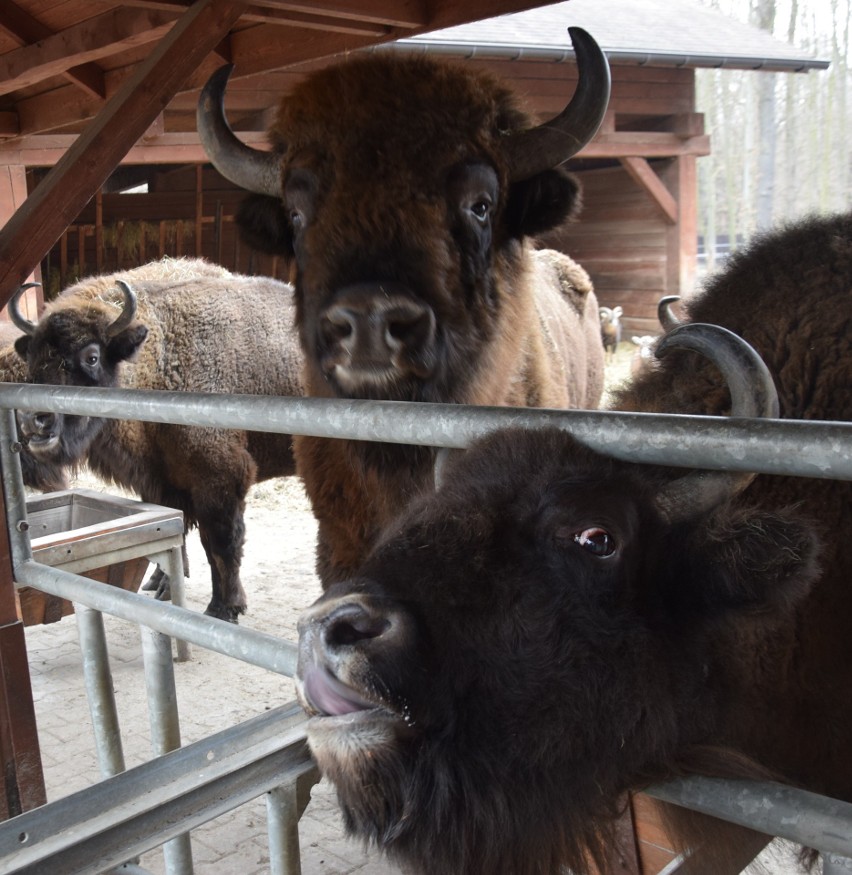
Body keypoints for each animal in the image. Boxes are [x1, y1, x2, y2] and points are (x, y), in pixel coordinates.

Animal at [11, 258, 302, 624]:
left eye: (92, 356)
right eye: (33, 357)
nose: (32, 419)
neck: (161, 358)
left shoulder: (219, 480)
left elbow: (221, 545)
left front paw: (224, 609)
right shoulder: (160, 481)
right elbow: (179, 535)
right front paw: (164, 585)